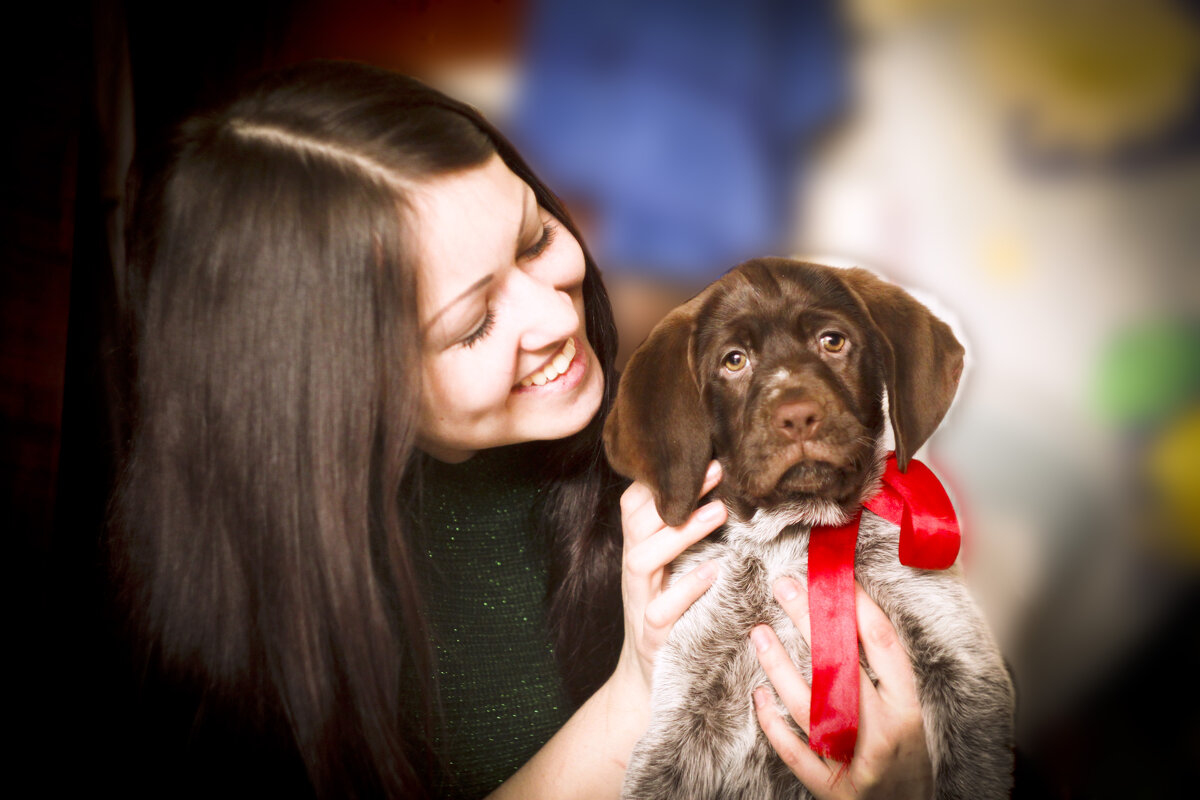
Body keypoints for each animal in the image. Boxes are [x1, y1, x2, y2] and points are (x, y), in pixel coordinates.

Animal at [604, 260, 1008, 796]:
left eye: (832, 341)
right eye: (734, 361)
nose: (797, 416)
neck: (795, 535)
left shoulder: (962, 666)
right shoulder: (682, 715)